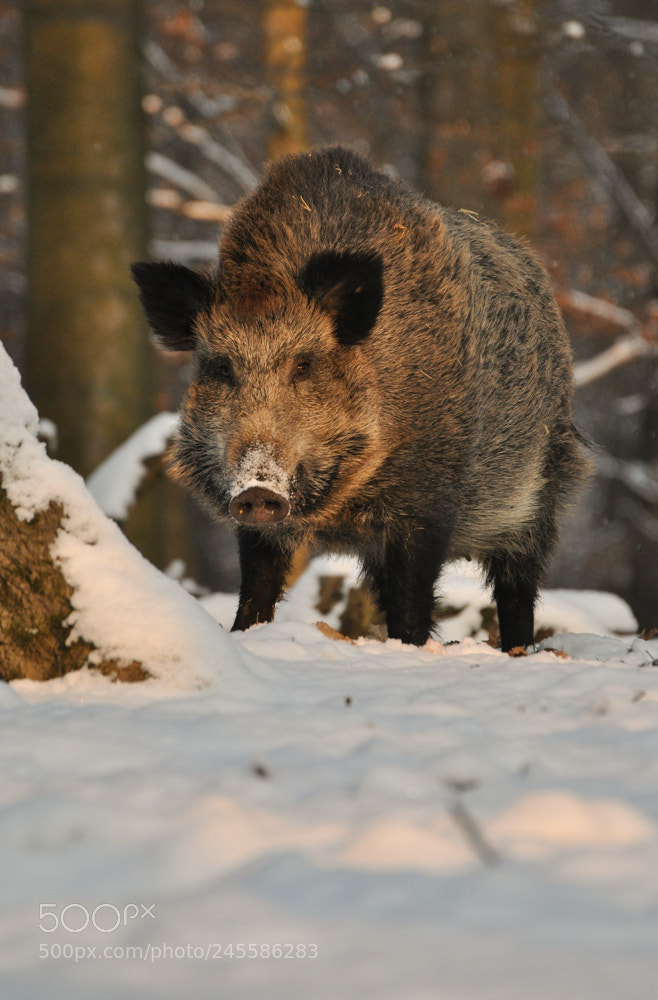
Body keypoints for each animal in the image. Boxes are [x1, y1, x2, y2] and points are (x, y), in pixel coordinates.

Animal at [132, 146, 590, 651]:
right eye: (220, 368)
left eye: (304, 365)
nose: (258, 489)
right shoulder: (259, 528)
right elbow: (256, 590)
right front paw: (245, 637)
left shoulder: (427, 500)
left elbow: (413, 603)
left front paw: (409, 650)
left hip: (545, 488)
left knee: (518, 586)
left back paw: (518, 650)